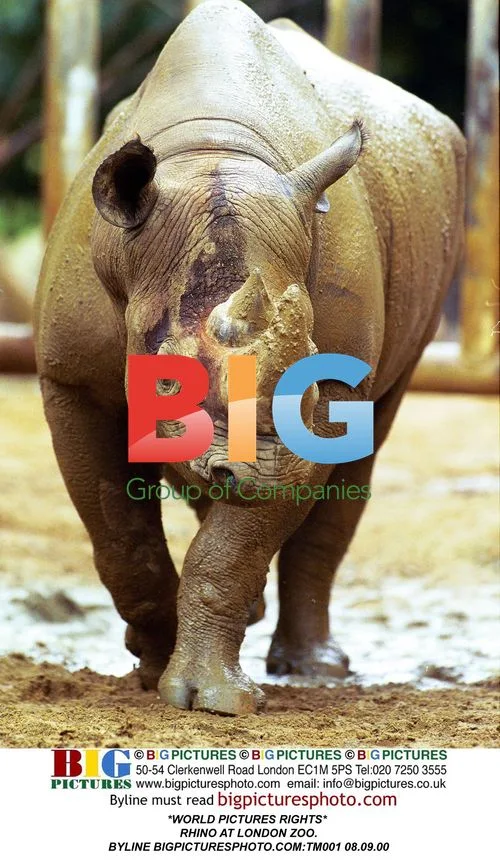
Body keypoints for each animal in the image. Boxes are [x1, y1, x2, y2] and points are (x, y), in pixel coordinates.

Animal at [34, 0, 465, 715]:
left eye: (314, 382)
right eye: (166, 385)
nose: (260, 474)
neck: (213, 155)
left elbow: (232, 546)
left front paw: (209, 697)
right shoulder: (70, 379)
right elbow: (120, 533)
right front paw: (153, 666)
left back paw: (315, 668)